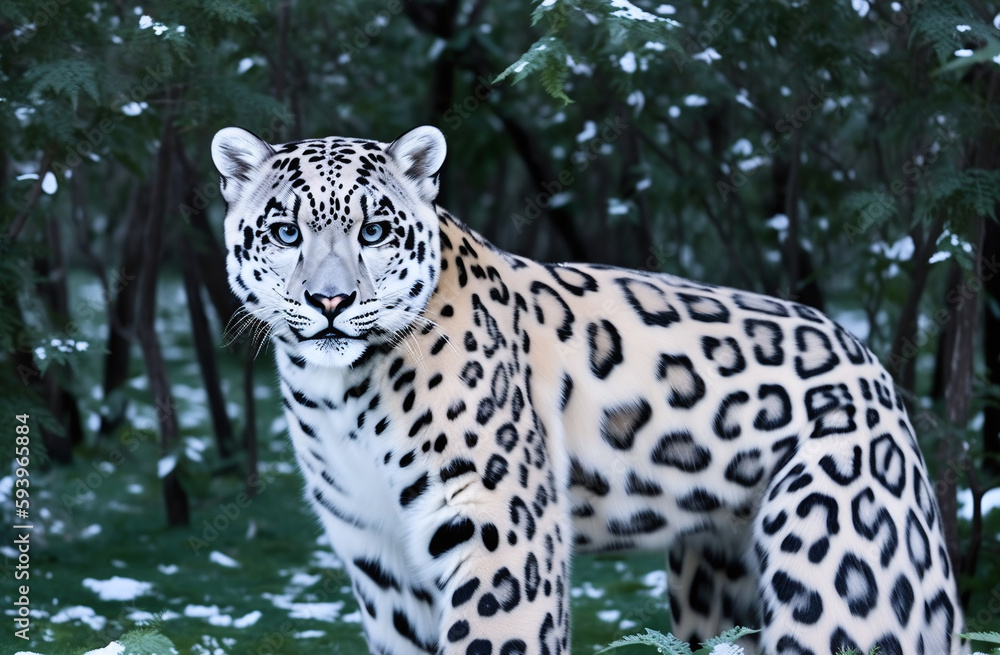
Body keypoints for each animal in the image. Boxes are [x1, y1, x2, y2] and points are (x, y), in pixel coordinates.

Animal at [211, 124, 966, 655]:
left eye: (373, 230)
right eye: (285, 232)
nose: (331, 300)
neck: (341, 393)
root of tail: (874, 368)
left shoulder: (501, 530)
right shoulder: (380, 560)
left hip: (837, 577)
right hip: (713, 584)